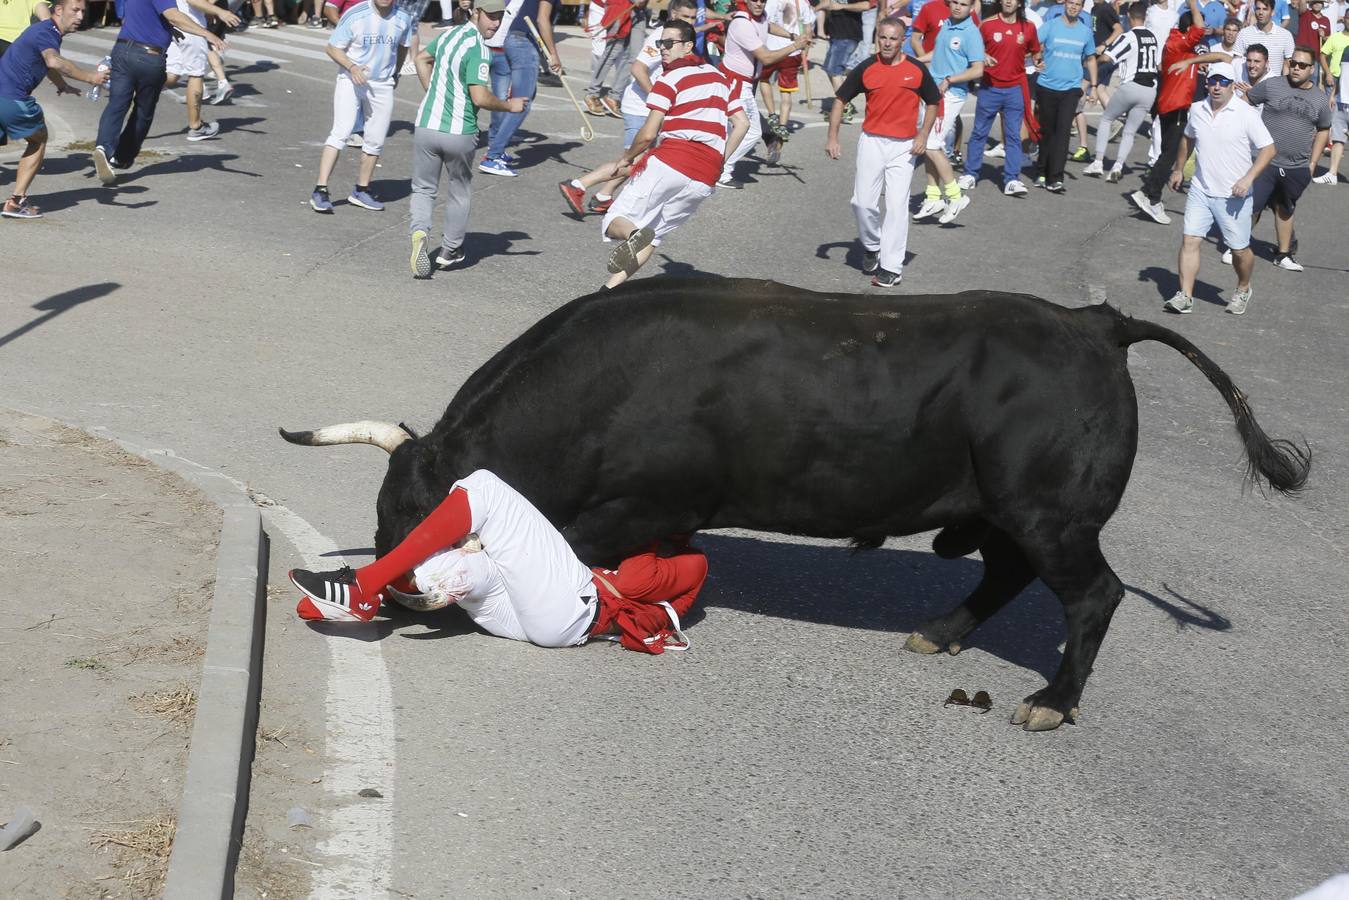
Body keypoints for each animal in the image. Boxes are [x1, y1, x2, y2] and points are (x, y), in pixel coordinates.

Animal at [281, 279, 1305, 734]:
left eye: (408, 517)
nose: (398, 589)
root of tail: (1093, 322)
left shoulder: (634, 506)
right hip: (1009, 513)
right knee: (1010, 572)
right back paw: (941, 632)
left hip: (1054, 515)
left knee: (1093, 594)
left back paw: (1051, 700)